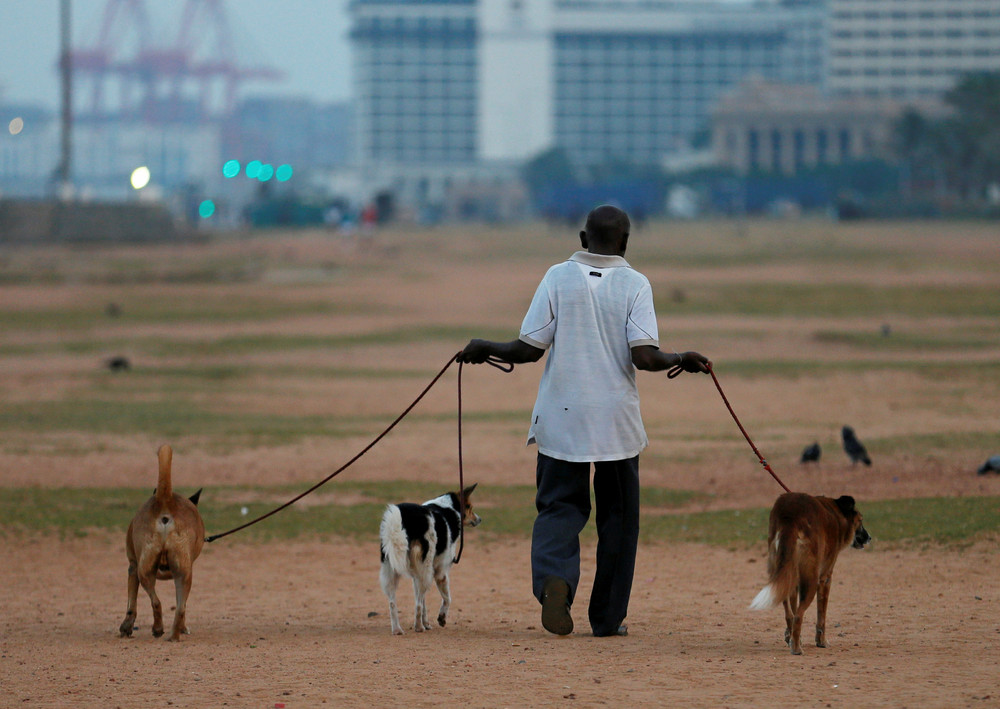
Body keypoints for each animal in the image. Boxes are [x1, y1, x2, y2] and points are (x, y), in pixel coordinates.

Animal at [119, 446, 205, 640]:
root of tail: (166, 500)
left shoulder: (132, 567)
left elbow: (131, 604)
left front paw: (126, 627)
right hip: (183, 573)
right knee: (180, 608)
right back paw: (174, 635)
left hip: (145, 569)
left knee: (157, 602)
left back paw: (158, 629)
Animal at [378, 484, 480, 632]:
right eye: (469, 507)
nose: (479, 519)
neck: (448, 507)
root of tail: (404, 517)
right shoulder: (441, 572)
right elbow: (447, 599)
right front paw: (441, 618)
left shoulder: (417, 575)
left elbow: (424, 602)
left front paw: (427, 622)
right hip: (425, 569)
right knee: (418, 604)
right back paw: (418, 627)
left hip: (392, 569)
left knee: (393, 603)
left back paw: (397, 630)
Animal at [748, 492, 872, 652]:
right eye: (860, 520)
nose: (869, 537)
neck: (837, 514)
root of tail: (790, 515)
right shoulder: (825, 578)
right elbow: (821, 616)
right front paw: (821, 641)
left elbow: (793, 608)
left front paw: (791, 637)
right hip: (811, 580)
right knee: (798, 615)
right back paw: (796, 649)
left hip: (782, 570)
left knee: (790, 614)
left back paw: (794, 640)